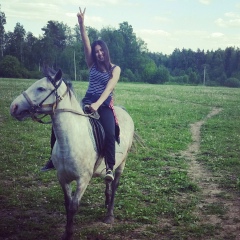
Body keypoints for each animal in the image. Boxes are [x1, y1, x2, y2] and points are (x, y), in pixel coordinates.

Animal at [9, 68, 135, 240]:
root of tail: (123, 111)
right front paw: (66, 232)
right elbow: (67, 204)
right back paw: (107, 202)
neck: (71, 139)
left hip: (122, 162)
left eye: (41, 88)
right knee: (108, 180)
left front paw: (69, 233)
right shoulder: (62, 178)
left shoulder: (83, 179)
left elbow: (74, 206)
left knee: (115, 183)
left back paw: (109, 214)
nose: (13, 107)